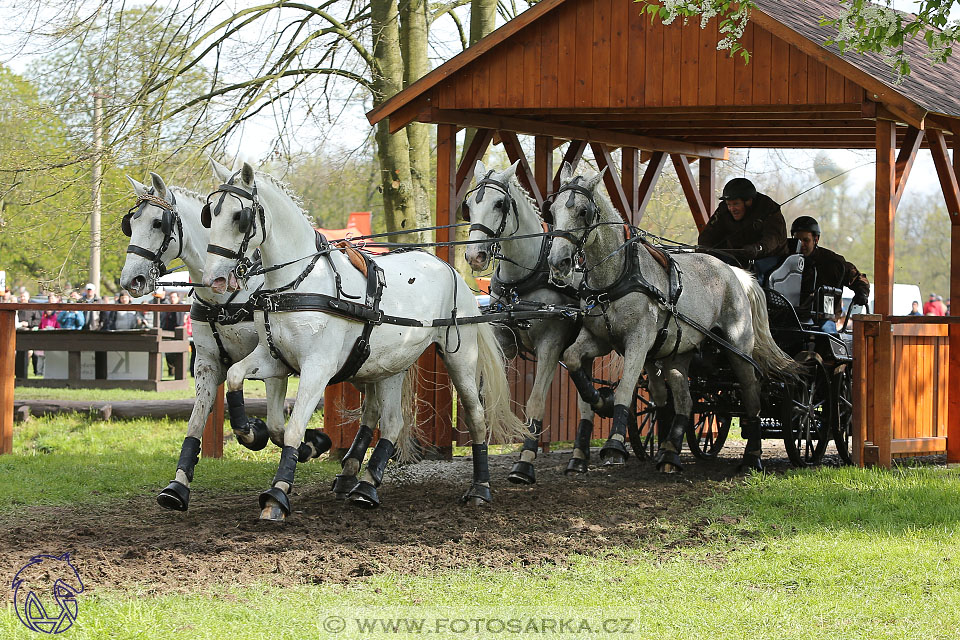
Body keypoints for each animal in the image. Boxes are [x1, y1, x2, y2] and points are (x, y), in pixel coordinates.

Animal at [119, 172, 332, 512]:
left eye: (157, 223)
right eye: (130, 223)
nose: (130, 281)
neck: (223, 298)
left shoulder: (274, 363)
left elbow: (276, 425)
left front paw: (297, 441)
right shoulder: (207, 363)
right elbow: (196, 423)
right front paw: (177, 486)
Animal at [197, 160, 524, 520]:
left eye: (239, 217)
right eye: (210, 214)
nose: (213, 279)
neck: (297, 282)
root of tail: (449, 270)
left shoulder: (318, 368)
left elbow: (294, 429)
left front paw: (277, 494)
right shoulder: (273, 357)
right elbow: (236, 378)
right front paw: (250, 432)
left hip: (460, 358)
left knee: (475, 416)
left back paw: (480, 487)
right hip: (390, 366)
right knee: (391, 422)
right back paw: (365, 485)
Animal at [462, 160, 596, 480]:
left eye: (500, 204)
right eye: (469, 205)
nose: (474, 256)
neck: (521, 282)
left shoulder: (551, 344)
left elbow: (535, 401)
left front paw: (525, 460)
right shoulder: (502, 341)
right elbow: (487, 396)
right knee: (585, 398)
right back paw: (578, 457)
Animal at [544, 162, 800, 472]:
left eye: (583, 211)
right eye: (552, 210)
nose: (558, 262)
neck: (617, 277)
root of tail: (734, 272)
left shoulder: (638, 343)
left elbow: (626, 388)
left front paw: (615, 445)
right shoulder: (598, 339)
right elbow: (572, 360)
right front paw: (597, 409)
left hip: (738, 349)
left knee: (752, 397)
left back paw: (753, 457)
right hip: (678, 355)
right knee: (685, 401)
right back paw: (669, 453)